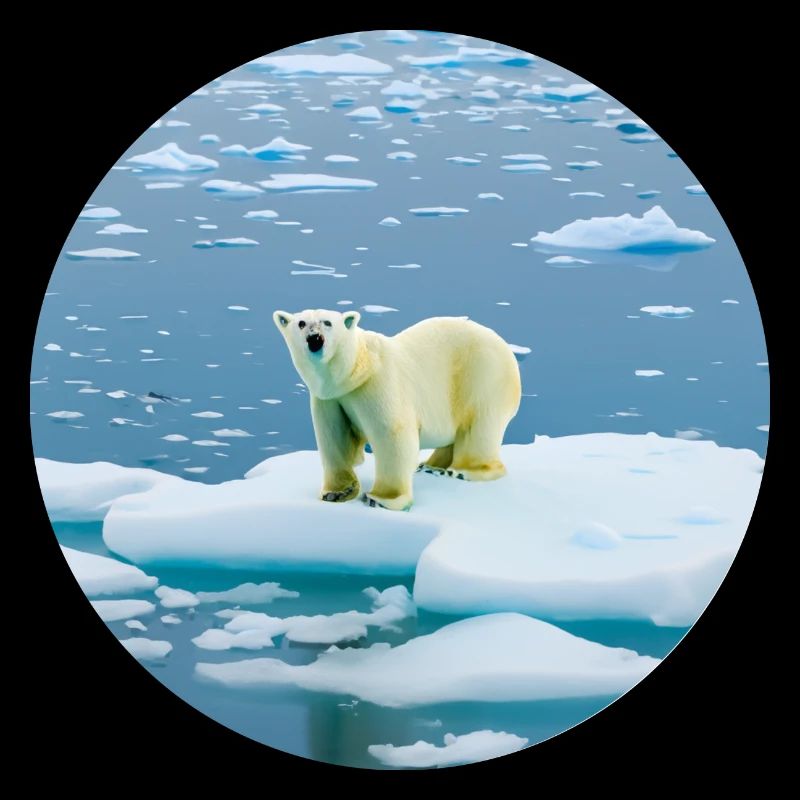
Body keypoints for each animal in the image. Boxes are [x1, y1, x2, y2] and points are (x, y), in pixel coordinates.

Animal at [273, 309, 522, 511]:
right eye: (301, 323)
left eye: (327, 322)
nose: (315, 339)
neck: (356, 370)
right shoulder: (331, 399)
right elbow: (334, 439)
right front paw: (337, 492)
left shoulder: (378, 383)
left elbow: (393, 436)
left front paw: (381, 499)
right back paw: (432, 466)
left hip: (482, 375)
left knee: (479, 425)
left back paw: (464, 470)